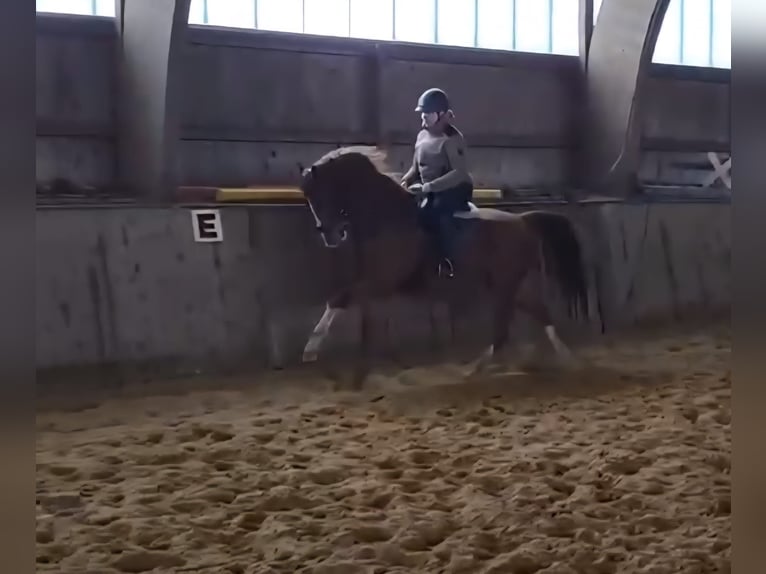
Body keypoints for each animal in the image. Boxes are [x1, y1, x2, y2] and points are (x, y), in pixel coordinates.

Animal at [299, 145, 592, 386]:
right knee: (540, 313)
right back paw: (569, 361)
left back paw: (473, 370)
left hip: (504, 286)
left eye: (323, 194)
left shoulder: (378, 282)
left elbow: (340, 300)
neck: (388, 218)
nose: (329, 234)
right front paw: (353, 373)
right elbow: (356, 314)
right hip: (512, 286)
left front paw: (314, 354)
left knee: (503, 331)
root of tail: (523, 220)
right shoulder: (375, 285)